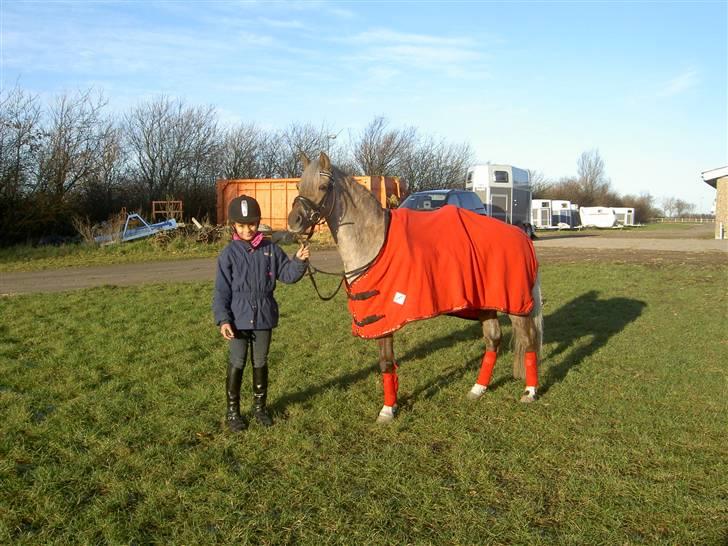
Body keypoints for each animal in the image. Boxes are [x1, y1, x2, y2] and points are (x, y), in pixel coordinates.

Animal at [288, 151, 544, 422]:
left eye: (323, 187)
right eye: (298, 186)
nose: (294, 221)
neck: (374, 242)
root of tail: (522, 236)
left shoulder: (384, 320)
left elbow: (386, 362)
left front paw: (387, 410)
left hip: (516, 305)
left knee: (529, 341)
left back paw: (530, 391)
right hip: (486, 302)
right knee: (493, 339)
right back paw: (478, 389)